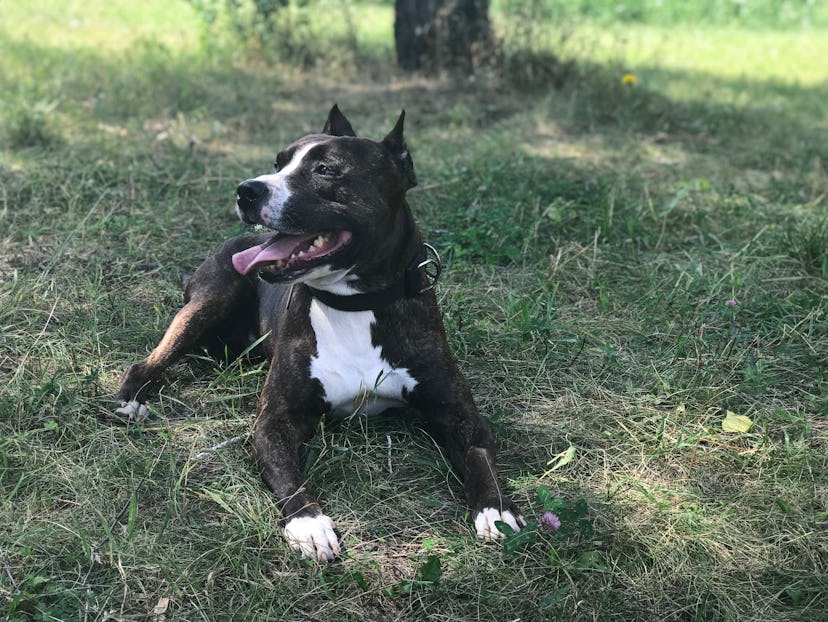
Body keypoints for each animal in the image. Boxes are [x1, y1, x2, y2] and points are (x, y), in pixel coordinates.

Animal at [115, 105, 524, 564]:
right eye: (278, 163)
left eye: (326, 169)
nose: (246, 190)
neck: (355, 304)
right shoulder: (275, 421)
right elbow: (288, 476)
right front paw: (309, 524)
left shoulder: (459, 413)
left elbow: (479, 457)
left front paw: (496, 509)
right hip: (207, 303)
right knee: (148, 361)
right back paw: (132, 401)